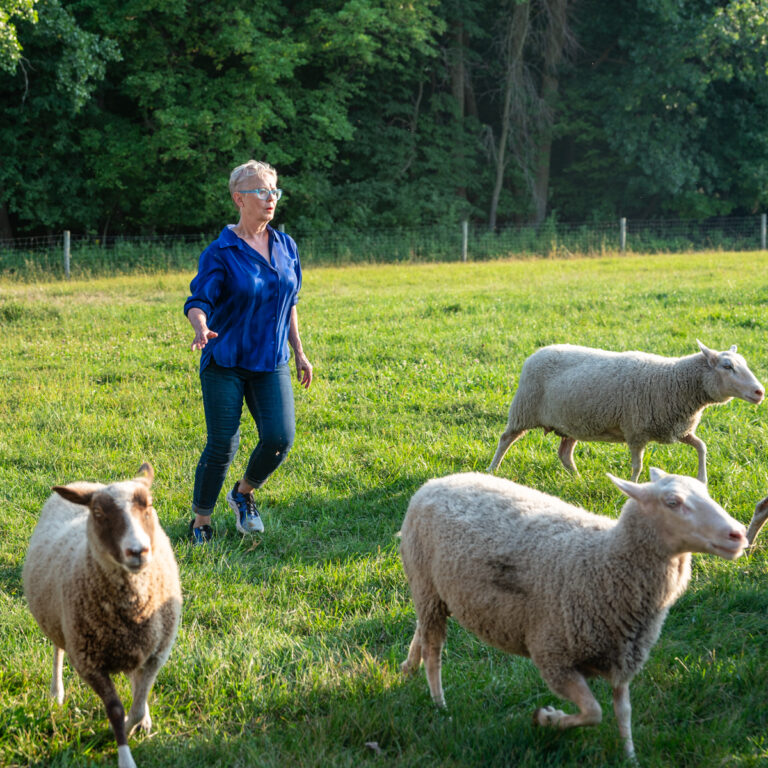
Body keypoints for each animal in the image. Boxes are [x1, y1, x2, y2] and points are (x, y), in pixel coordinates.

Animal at [22, 462, 182, 768]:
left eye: (149, 505)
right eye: (98, 513)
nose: (138, 551)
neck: (134, 607)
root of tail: (83, 484)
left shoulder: (156, 654)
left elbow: (138, 703)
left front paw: (138, 722)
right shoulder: (89, 663)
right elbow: (117, 711)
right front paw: (123, 751)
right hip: (58, 622)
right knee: (58, 650)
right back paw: (56, 693)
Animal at [400, 468, 748, 756]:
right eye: (673, 502)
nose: (739, 534)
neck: (604, 560)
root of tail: (437, 482)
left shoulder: (622, 657)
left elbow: (623, 712)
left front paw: (630, 756)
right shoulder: (554, 657)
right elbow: (594, 712)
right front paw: (547, 718)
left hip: (431, 588)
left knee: (420, 629)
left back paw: (409, 667)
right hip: (425, 582)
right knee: (434, 650)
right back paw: (439, 703)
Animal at [486, 340, 760, 484]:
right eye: (727, 366)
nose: (760, 392)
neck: (674, 383)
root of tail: (537, 352)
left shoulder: (677, 429)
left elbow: (701, 446)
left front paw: (702, 479)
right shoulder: (636, 432)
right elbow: (638, 466)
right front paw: (633, 487)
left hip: (571, 423)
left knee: (564, 453)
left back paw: (578, 478)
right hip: (524, 410)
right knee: (505, 439)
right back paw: (492, 470)